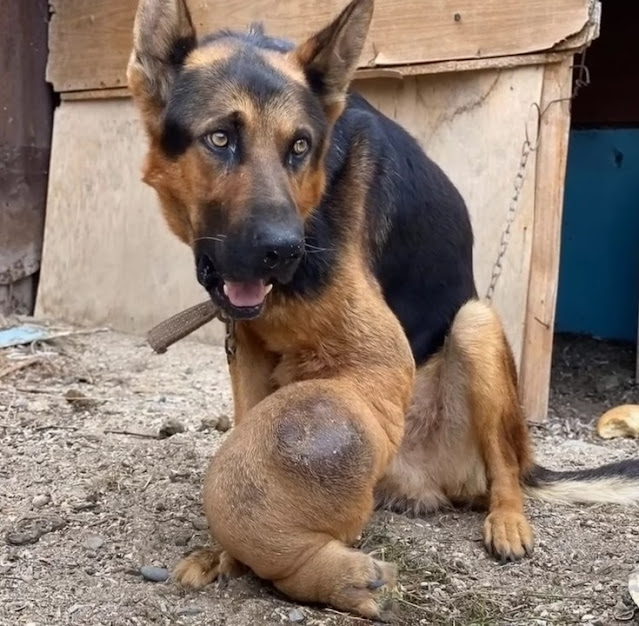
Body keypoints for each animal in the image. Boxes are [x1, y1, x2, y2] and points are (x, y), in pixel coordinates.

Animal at [127, 0, 639, 616]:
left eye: (300, 147)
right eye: (221, 138)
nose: (286, 251)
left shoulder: (376, 353)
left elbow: (254, 466)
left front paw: (313, 569)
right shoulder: (246, 351)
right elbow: (247, 443)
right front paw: (229, 552)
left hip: (475, 324)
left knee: (506, 469)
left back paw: (507, 520)